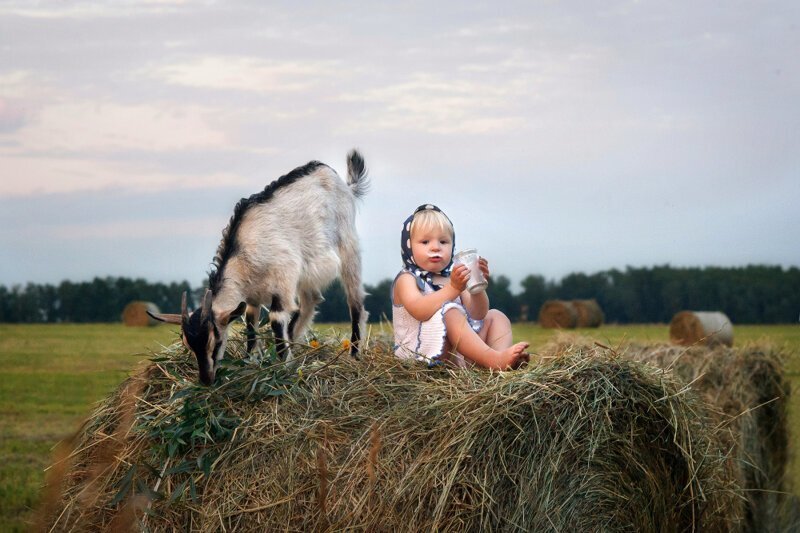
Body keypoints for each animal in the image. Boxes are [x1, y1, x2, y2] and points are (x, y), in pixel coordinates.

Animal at [149, 150, 368, 382]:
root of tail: (343, 184)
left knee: (356, 303)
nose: (206, 381)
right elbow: (251, 331)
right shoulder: (251, 300)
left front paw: (282, 368)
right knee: (310, 301)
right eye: (189, 346)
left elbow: (276, 322)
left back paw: (354, 354)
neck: (244, 254)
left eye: (216, 342)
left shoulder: (281, 285)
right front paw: (250, 363)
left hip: (348, 250)